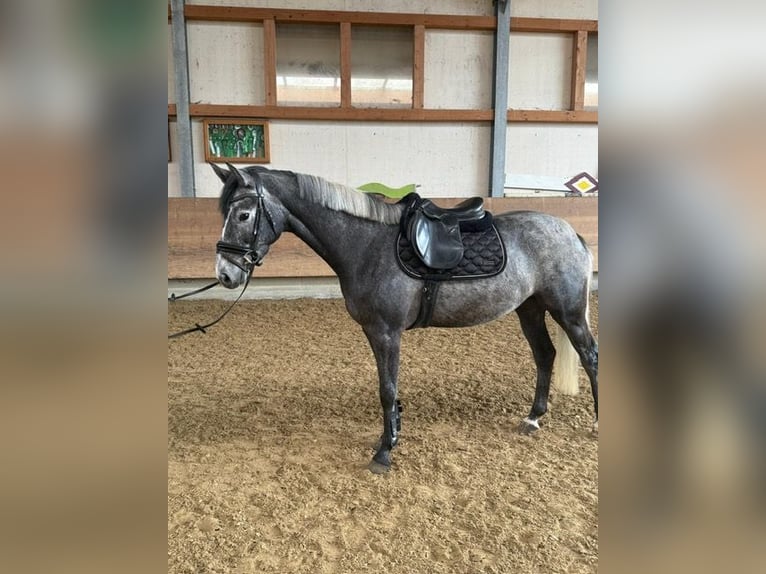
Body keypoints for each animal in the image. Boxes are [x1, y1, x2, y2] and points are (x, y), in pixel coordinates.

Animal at [211, 163, 598, 473]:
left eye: (243, 215)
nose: (226, 274)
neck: (367, 245)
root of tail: (571, 233)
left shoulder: (387, 332)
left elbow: (387, 389)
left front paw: (384, 452)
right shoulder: (374, 332)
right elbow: (388, 386)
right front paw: (392, 434)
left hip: (568, 312)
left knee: (589, 356)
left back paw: (594, 424)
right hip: (530, 308)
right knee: (545, 355)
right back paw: (533, 418)